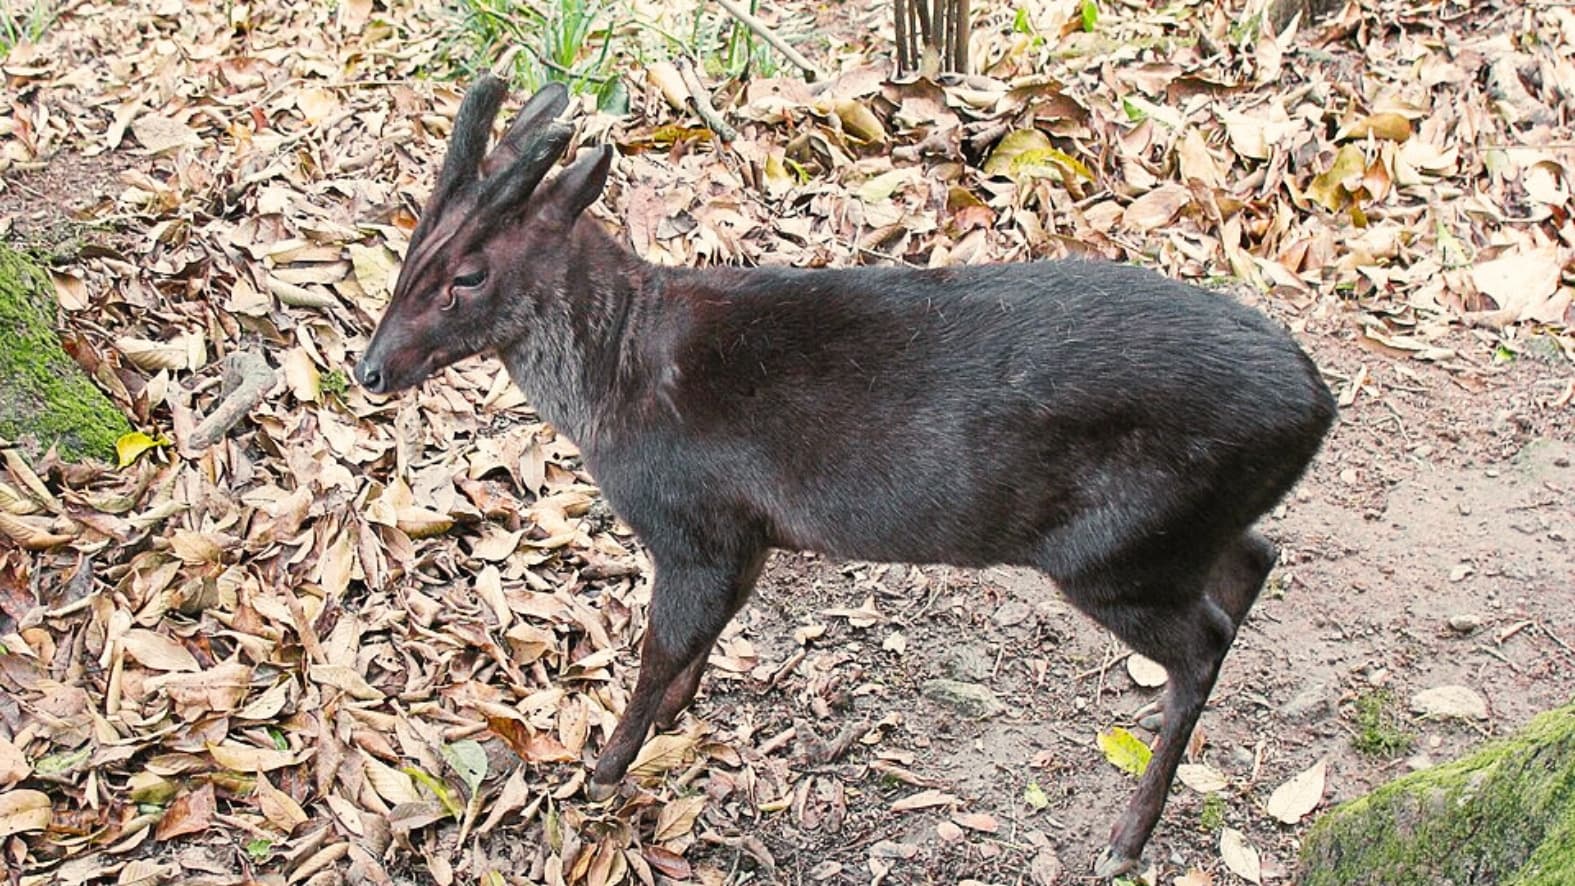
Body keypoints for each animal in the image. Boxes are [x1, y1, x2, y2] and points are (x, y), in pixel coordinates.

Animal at [355, 75, 1337, 877]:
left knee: (1202, 642)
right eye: (408, 249)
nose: (368, 368)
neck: (618, 379)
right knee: (1256, 557)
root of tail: (1317, 403)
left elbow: (659, 646)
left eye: (467, 274)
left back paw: (1122, 842)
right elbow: (701, 639)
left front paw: (602, 770)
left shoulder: (693, 522)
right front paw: (674, 714)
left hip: (1112, 549)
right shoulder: (747, 532)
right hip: (1177, 530)